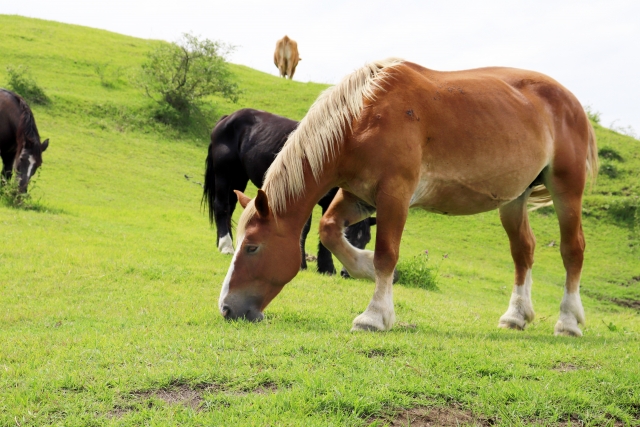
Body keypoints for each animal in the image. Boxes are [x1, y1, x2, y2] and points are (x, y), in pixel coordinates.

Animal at [202, 108, 375, 275]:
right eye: (348, 236)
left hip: (238, 178)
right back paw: (226, 246)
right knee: (222, 207)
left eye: (367, 239)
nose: (347, 273)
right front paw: (302, 264)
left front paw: (326, 267)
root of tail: (227, 118)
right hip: (224, 174)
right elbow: (304, 229)